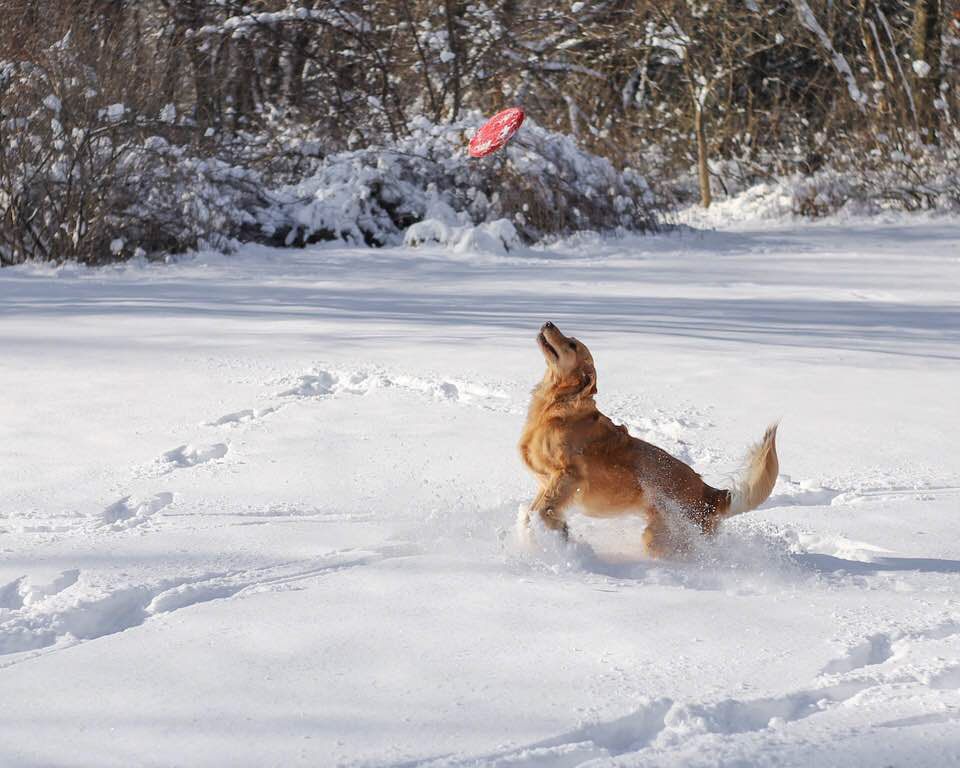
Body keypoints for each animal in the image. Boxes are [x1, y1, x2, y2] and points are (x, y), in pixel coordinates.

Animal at [518, 322, 778, 558]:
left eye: (572, 344)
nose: (549, 323)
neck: (559, 405)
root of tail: (710, 493)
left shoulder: (569, 475)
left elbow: (541, 510)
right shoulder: (546, 482)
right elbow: (535, 510)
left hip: (659, 538)